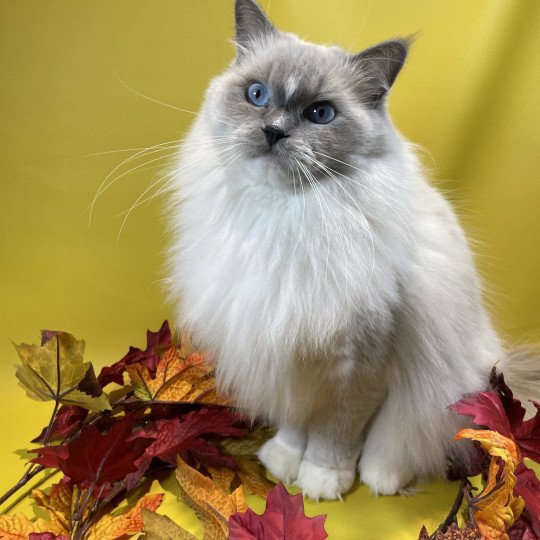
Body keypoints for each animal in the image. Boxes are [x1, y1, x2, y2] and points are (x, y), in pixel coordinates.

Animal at [166, 0, 524, 500]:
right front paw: (284, 464)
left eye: (320, 114)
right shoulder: (288, 358)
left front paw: (321, 481)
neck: (286, 217)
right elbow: (296, 427)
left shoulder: (357, 370)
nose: (273, 131)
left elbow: (334, 435)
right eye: (257, 95)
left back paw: (381, 477)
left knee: (407, 444)